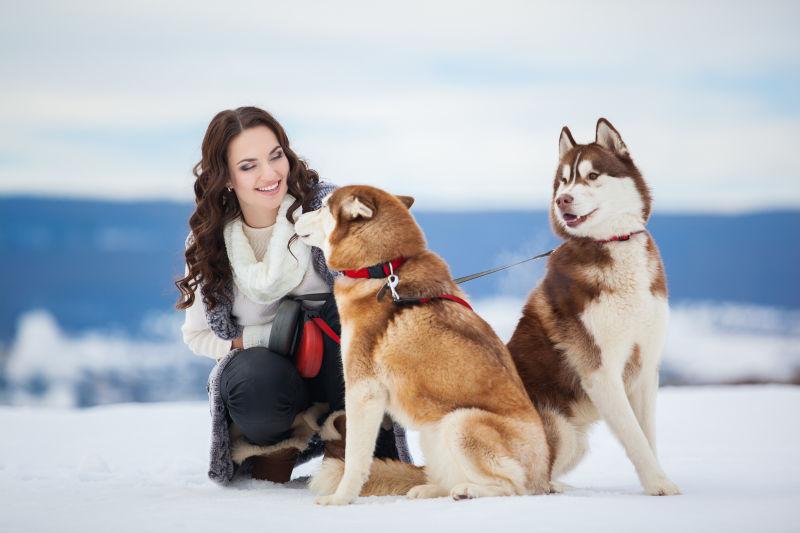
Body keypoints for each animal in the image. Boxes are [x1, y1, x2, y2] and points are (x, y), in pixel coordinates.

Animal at [294, 186, 552, 502]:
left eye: (322, 207)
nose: (295, 215)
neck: (380, 271)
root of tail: (545, 477)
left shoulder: (363, 389)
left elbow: (355, 458)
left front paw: (340, 498)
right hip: (434, 432)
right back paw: (433, 488)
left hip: (461, 422)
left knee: (512, 486)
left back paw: (469, 491)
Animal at [510, 117, 680, 494]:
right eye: (563, 180)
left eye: (592, 175)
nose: (563, 199)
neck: (612, 243)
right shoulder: (600, 369)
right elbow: (634, 436)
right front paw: (659, 483)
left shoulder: (646, 366)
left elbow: (647, 435)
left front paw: (657, 481)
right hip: (559, 427)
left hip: (576, 441)